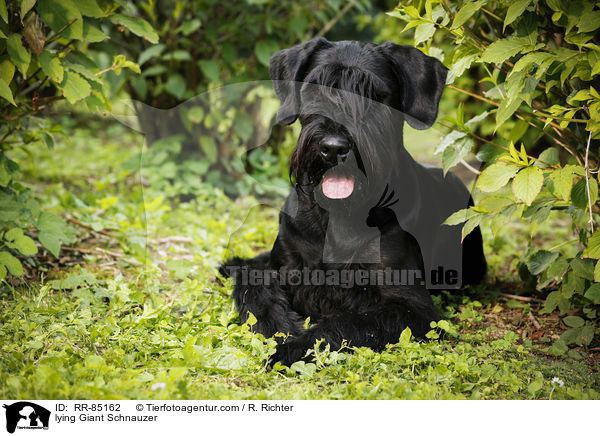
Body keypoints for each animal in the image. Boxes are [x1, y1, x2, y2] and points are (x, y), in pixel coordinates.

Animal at [220, 37, 488, 366]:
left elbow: (347, 322)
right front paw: (278, 329)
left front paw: (292, 349)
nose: (333, 148)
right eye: (315, 89)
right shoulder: (280, 267)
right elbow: (254, 288)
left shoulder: (411, 307)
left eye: (374, 95)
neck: (335, 217)